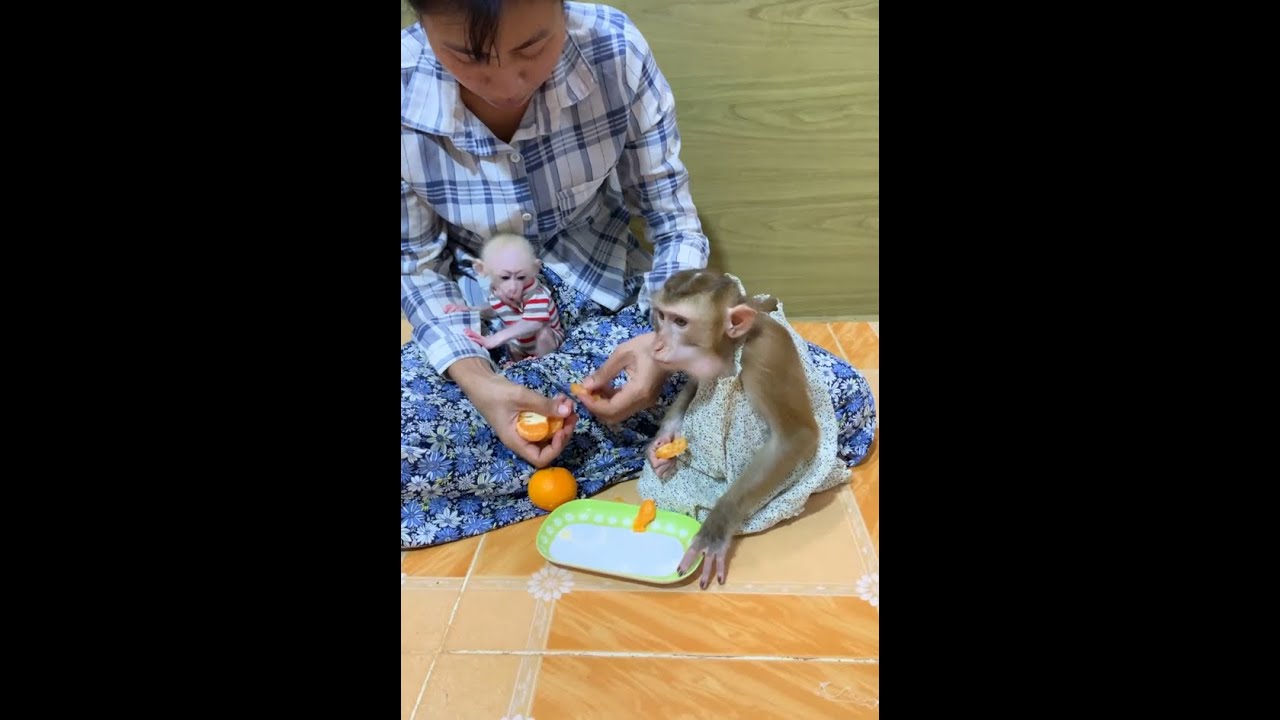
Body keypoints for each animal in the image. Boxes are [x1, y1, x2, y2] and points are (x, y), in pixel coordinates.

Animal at [638, 270, 849, 589]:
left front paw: (716, 527)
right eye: (662, 316)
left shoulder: (767, 353)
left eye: (681, 322)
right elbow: (695, 382)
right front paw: (664, 441)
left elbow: (795, 437)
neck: (731, 347)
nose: (657, 345)